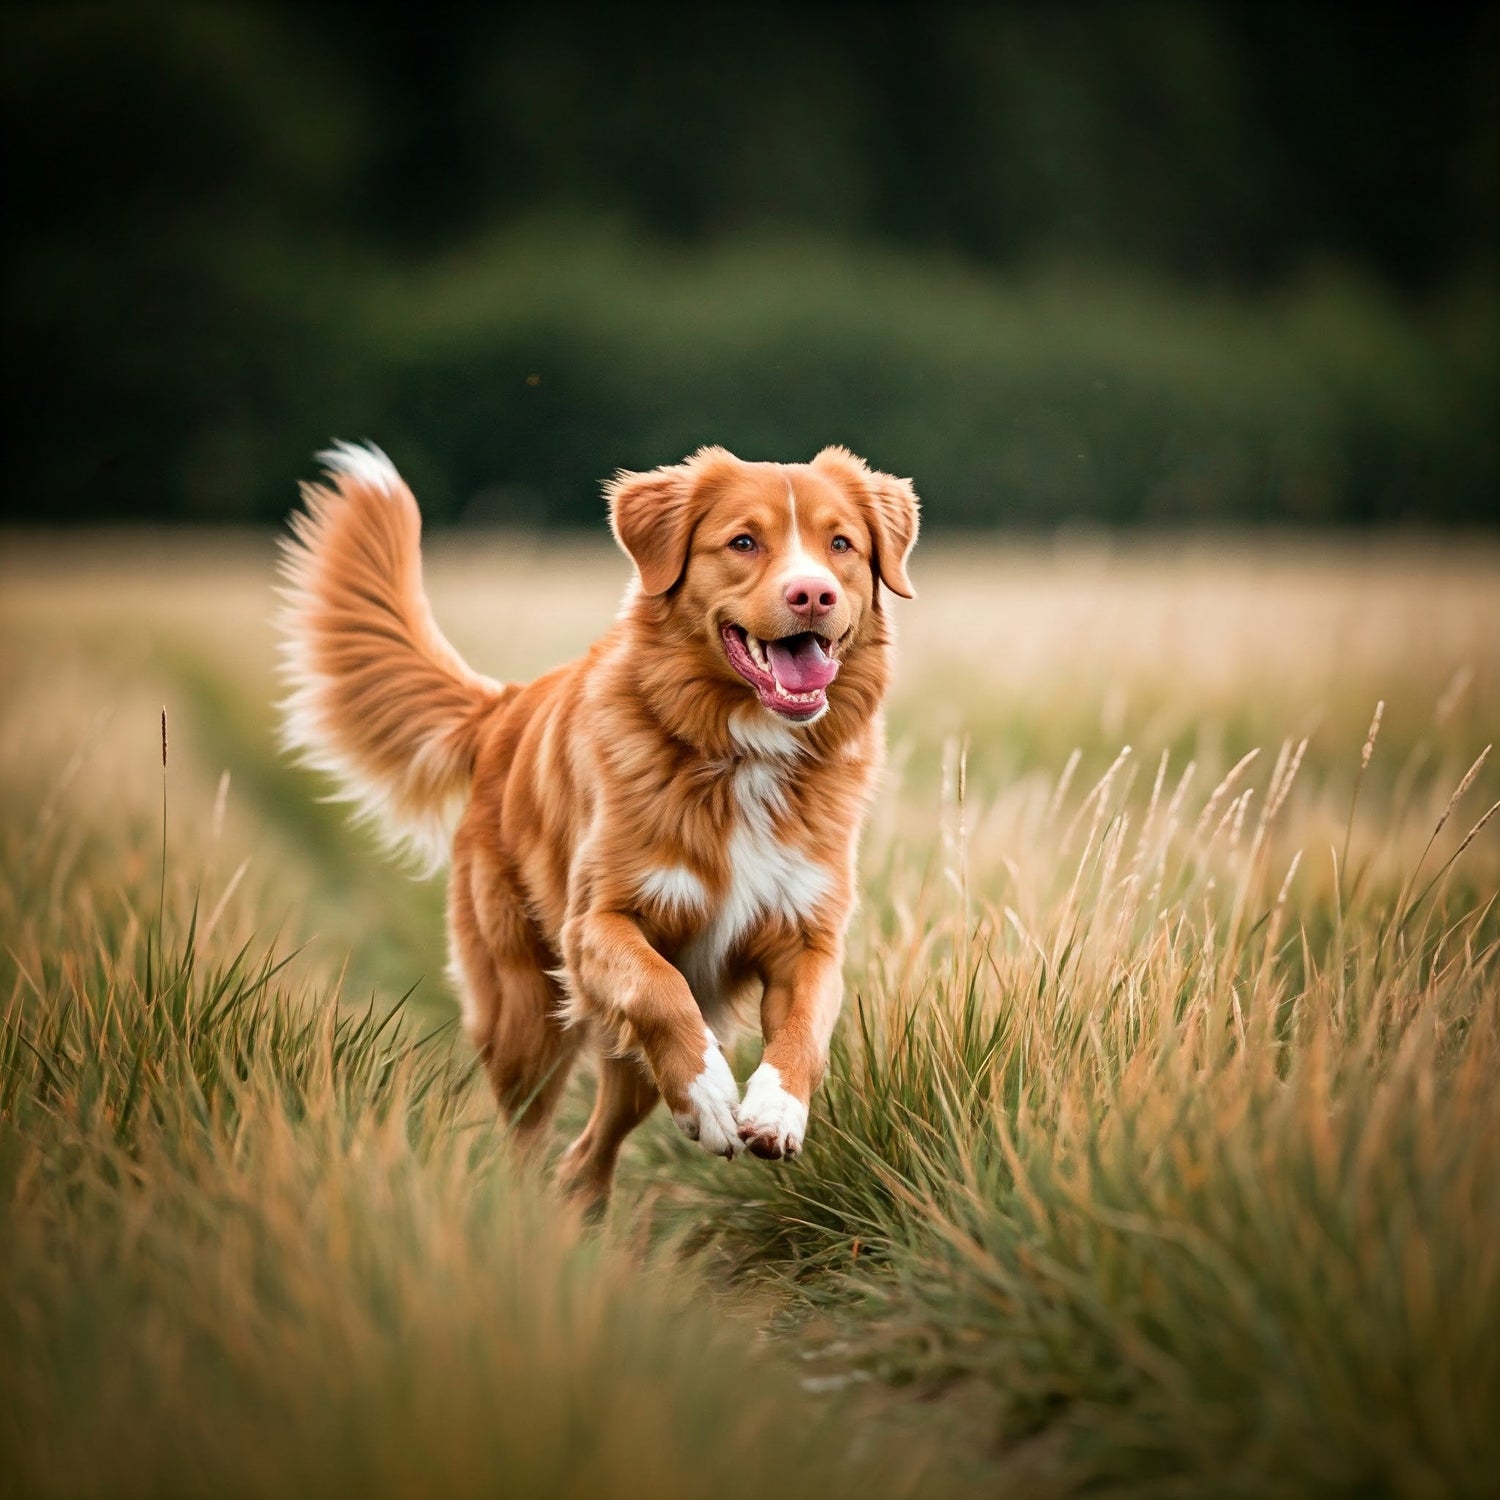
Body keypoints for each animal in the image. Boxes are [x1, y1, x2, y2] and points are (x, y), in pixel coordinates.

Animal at [277, 441, 918, 1206]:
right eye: (743, 542)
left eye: (841, 545)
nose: (812, 594)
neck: (743, 753)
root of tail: (505, 706)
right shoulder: (596, 925)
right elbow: (661, 992)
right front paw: (709, 1093)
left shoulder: (808, 935)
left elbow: (806, 1026)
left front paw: (775, 1109)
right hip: (524, 1015)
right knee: (529, 1131)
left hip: (616, 1061)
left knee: (588, 1152)